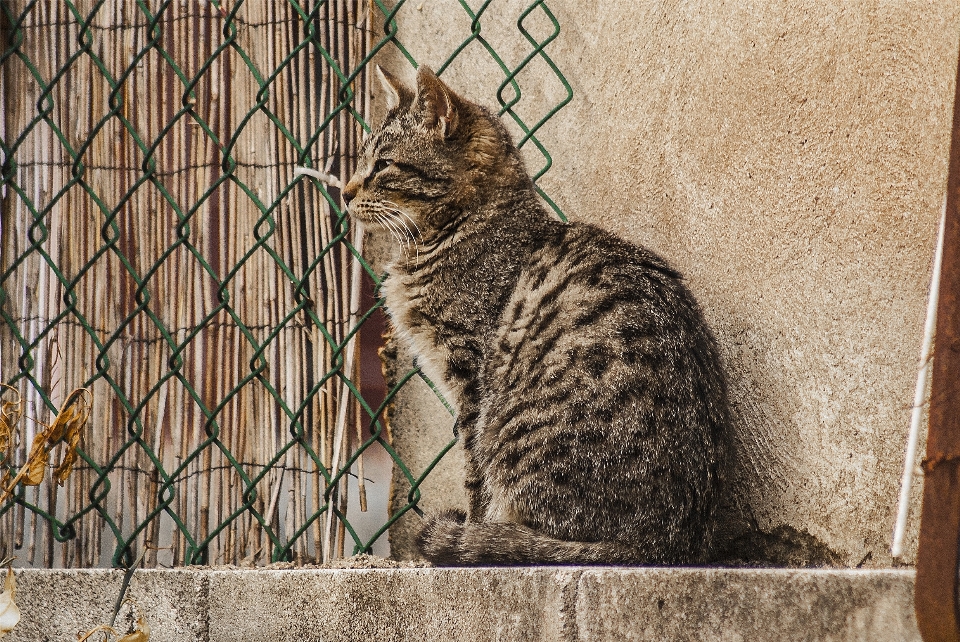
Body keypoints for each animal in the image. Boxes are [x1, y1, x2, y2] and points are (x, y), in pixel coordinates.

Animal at [344, 66, 728, 564]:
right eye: (361, 161)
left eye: (383, 165)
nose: (345, 190)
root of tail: (665, 544)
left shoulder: (470, 375)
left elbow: (474, 474)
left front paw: (473, 528)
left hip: (514, 428)